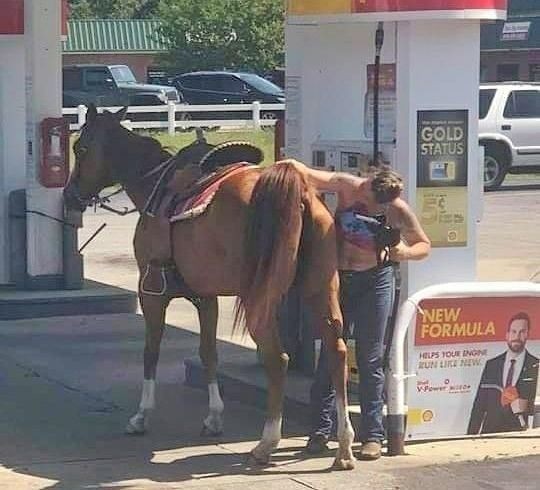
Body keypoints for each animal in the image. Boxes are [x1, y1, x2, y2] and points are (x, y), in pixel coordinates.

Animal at [63, 105, 356, 468]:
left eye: (80, 148)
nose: (69, 195)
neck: (155, 188)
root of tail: (295, 191)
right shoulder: (207, 297)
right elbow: (208, 352)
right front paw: (214, 416)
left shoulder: (151, 291)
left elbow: (151, 351)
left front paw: (141, 415)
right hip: (320, 289)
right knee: (336, 350)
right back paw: (343, 445)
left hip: (260, 298)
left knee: (278, 359)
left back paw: (267, 442)